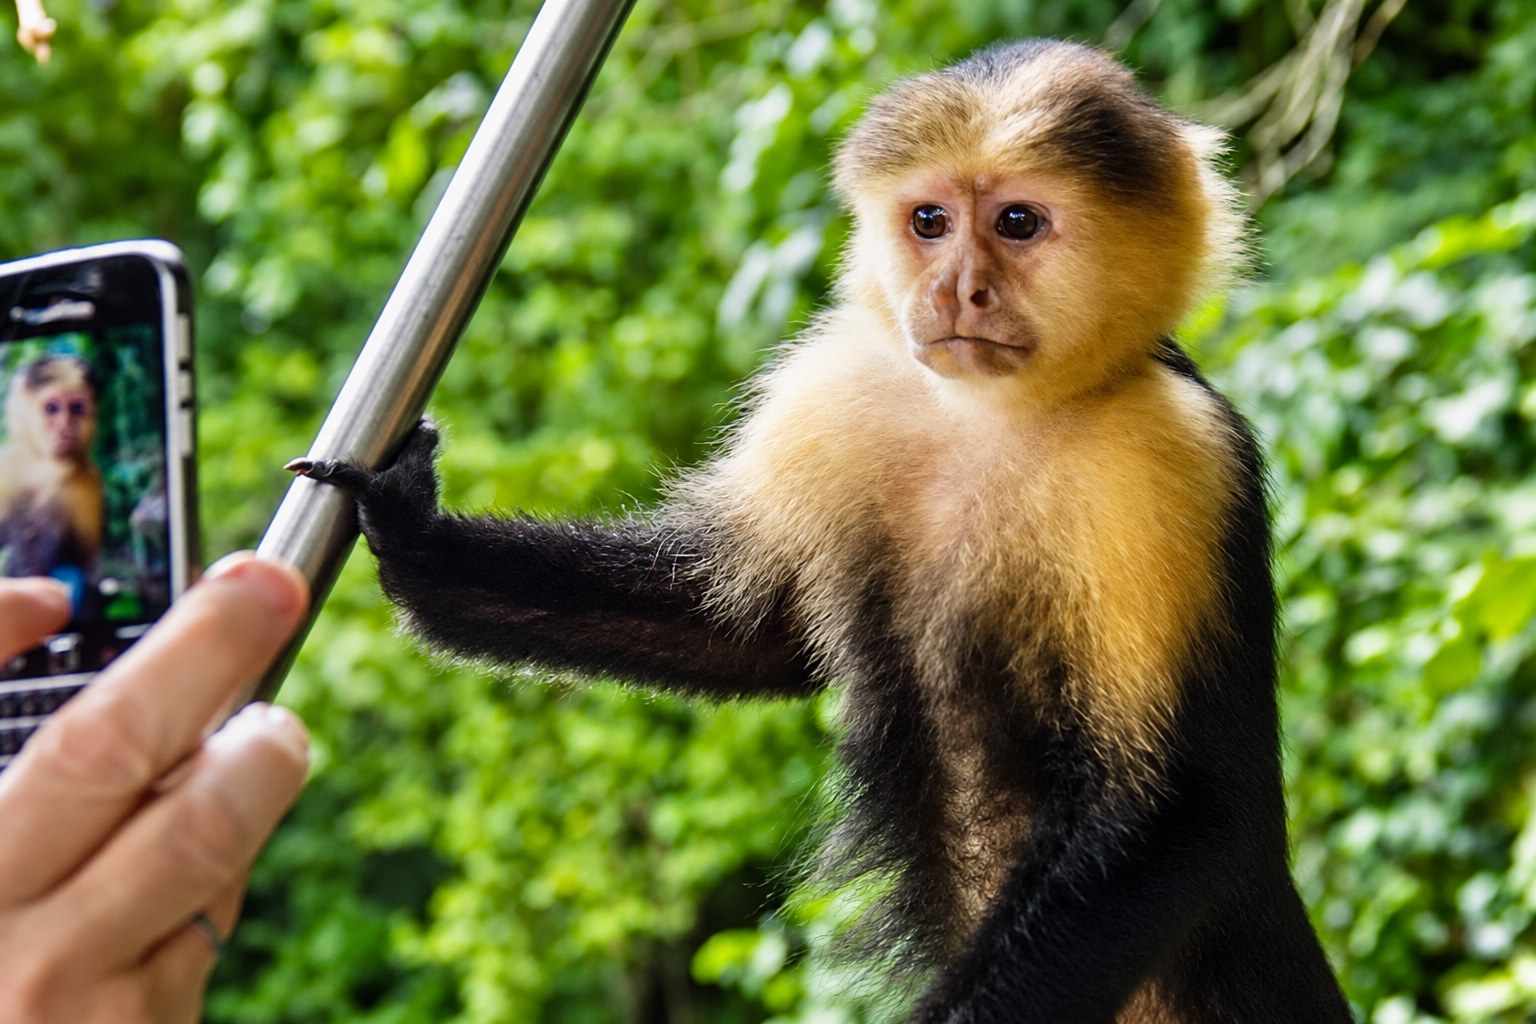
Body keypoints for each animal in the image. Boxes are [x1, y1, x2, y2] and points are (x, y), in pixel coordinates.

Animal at [0, 354, 103, 581]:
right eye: (52, 408)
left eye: (77, 408)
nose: (65, 425)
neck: (45, 469)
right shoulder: (8, 464)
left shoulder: (88, 485)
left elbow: (85, 570)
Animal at [291, 40, 1355, 1023]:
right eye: (930, 222)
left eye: (1018, 222)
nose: (956, 290)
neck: (993, 418)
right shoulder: (837, 386)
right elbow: (744, 630)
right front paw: (417, 541)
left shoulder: (1170, 459)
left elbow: (1180, 810)